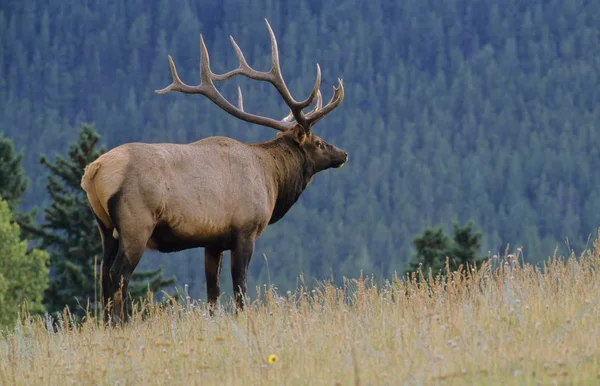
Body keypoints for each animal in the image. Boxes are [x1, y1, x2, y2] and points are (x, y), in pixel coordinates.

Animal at [79, 18, 346, 322]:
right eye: (319, 142)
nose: (343, 154)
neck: (273, 180)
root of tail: (93, 171)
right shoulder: (245, 230)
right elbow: (240, 287)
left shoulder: (213, 241)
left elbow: (212, 292)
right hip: (136, 223)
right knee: (118, 275)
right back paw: (123, 323)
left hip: (104, 227)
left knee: (103, 276)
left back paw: (108, 324)